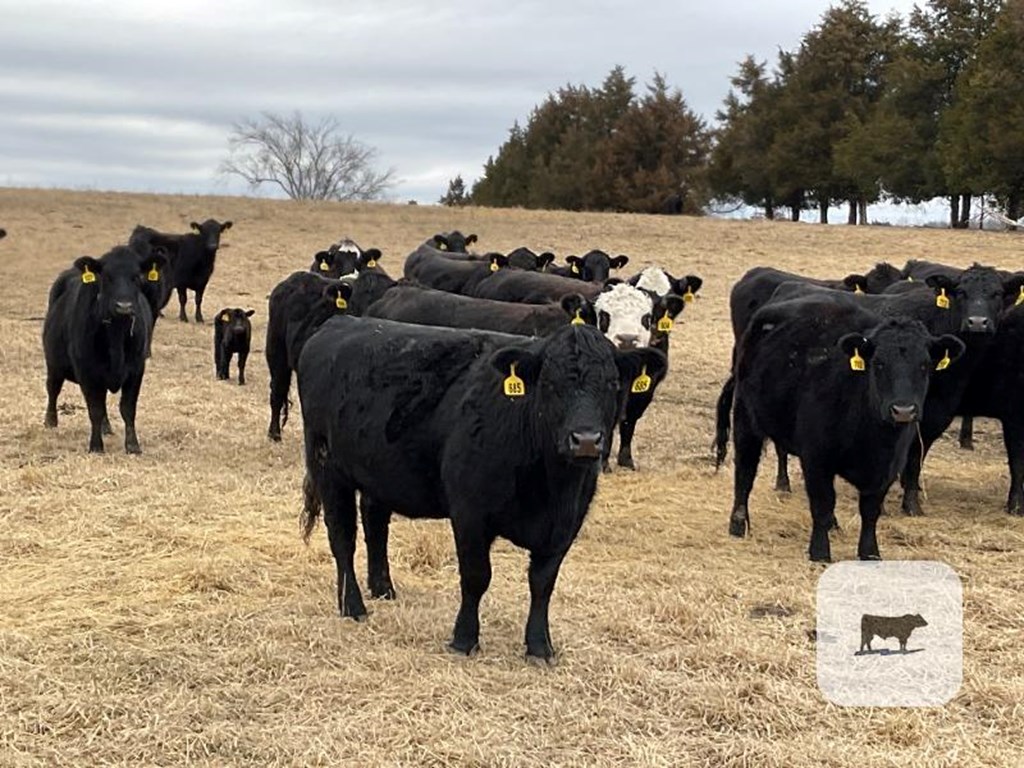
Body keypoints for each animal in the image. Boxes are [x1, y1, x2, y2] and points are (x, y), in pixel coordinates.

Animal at [43, 246, 163, 454]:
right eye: (106, 277)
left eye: (137, 276)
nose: (124, 306)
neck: (116, 335)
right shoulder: (88, 372)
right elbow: (95, 410)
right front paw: (96, 446)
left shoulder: (136, 370)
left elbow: (128, 409)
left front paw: (133, 446)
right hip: (53, 363)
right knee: (53, 388)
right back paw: (50, 420)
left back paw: (106, 428)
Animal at [299, 319, 663, 663]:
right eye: (549, 384)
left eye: (613, 384)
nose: (586, 440)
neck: (552, 487)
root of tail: (341, 323)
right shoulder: (470, 514)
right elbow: (477, 576)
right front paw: (464, 639)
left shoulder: (566, 525)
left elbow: (542, 583)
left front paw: (539, 646)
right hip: (328, 468)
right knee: (342, 539)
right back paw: (353, 606)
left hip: (377, 473)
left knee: (375, 525)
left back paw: (383, 588)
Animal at [724, 296, 962, 561]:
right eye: (878, 364)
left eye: (924, 365)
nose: (903, 410)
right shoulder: (816, 458)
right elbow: (822, 503)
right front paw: (819, 552)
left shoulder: (889, 466)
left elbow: (870, 510)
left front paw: (870, 553)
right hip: (746, 419)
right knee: (745, 472)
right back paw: (738, 523)